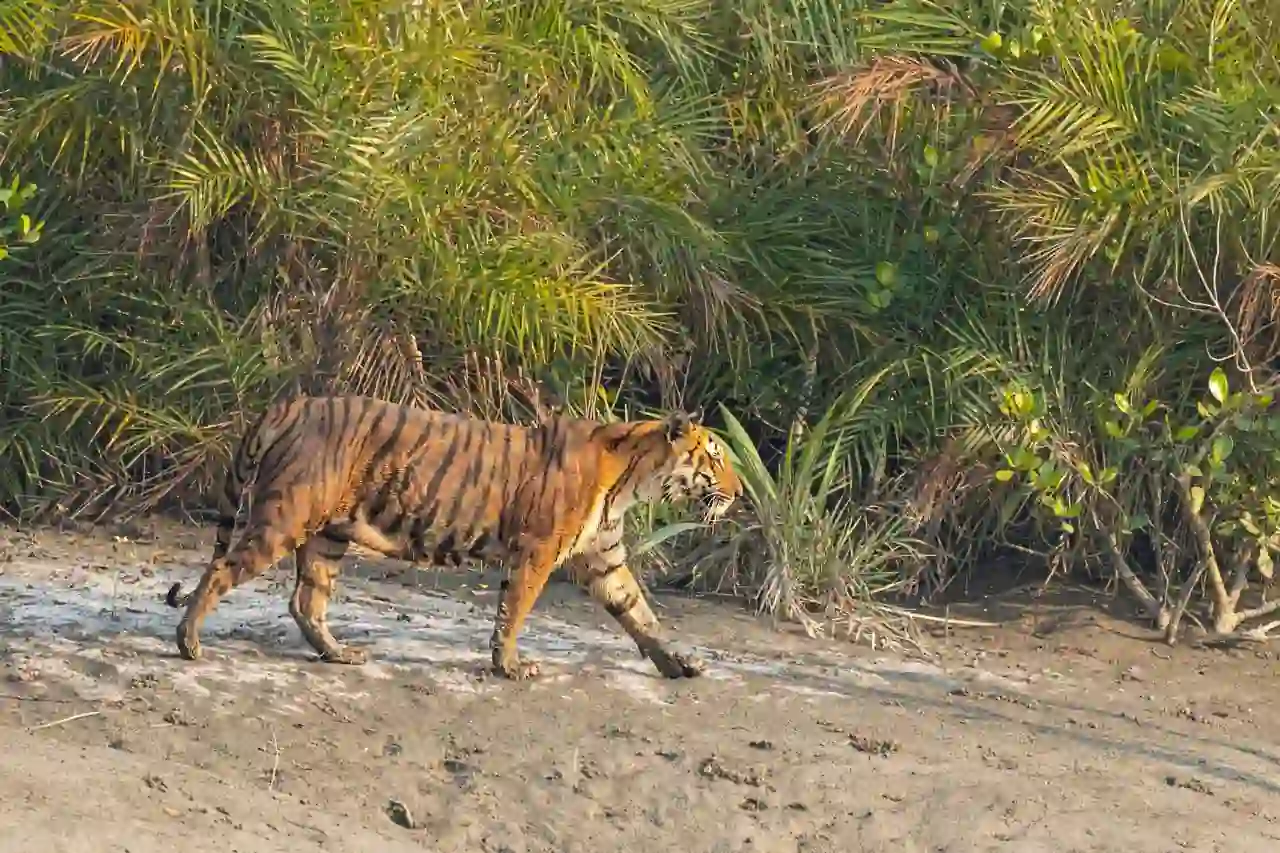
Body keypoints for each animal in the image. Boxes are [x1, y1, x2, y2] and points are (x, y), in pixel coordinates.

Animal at [164, 393, 743, 680]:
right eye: (715, 457)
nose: (739, 492)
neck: (632, 480)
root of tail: (287, 405)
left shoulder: (604, 558)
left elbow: (641, 614)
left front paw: (679, 663)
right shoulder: (537, 552)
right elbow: (514, 612)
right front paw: (510, 666)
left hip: (327, 534)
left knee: (306, 600)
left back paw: (339, 654)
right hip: (286, 518)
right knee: (222, 569)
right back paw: (188, 642)